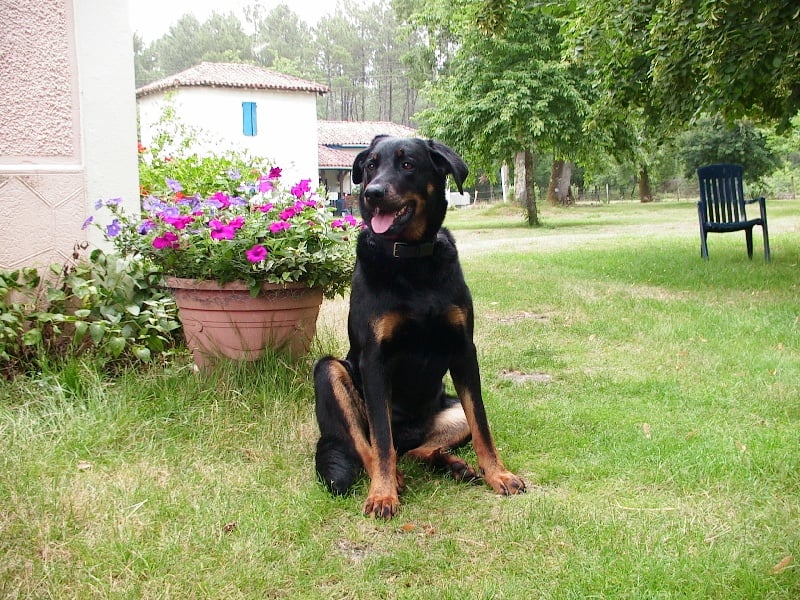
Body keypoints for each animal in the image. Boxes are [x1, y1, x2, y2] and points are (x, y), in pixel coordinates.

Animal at [312, 135, 524, 516]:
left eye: (407, 164)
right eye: (370, 166)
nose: (372, 193)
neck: (412, 260)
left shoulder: (463, 349)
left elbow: (482, 425)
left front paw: (498, 474)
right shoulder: (373, 360)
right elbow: (380, 440)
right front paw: (382, 495)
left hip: (449, 412)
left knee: (415, 449)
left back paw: (451, 464)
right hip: (330, 371)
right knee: (372, 446)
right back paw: (393, 479)